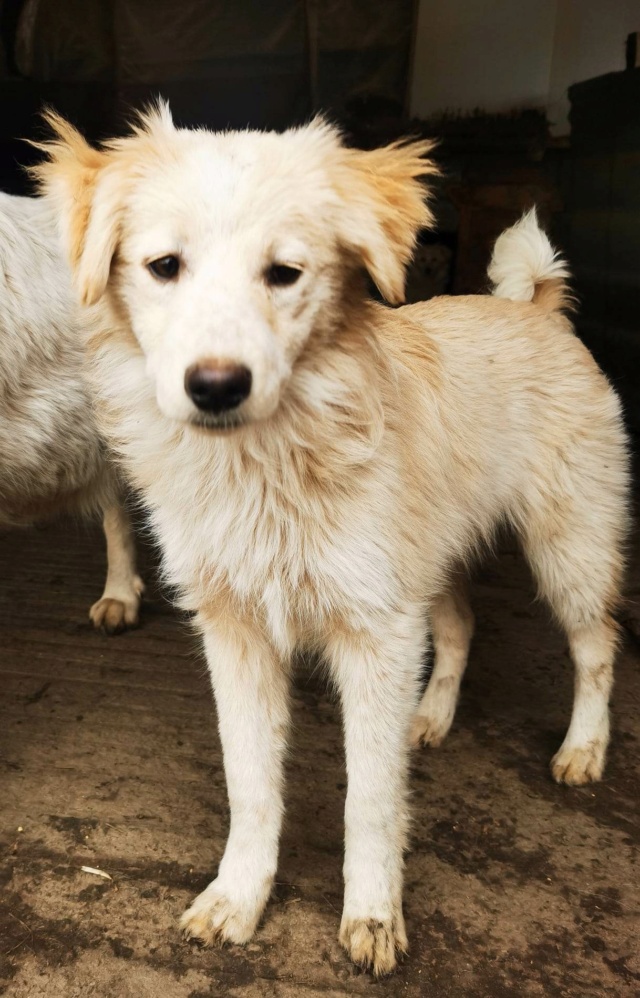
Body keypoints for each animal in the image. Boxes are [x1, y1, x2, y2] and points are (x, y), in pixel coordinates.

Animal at [32, 109, 628, 976]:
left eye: (285, 273)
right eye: (164, 267)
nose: (216, 387)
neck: (265, 468)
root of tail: (537, 307)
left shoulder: (376, 634)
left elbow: (371, 800)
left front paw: (373, 915)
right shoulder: (238, 632)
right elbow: (251, 784)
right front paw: (238, 897)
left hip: (569, 544)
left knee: (596, 646)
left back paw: (584, 749)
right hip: (430, 562)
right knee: (461, 625)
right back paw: (431, 716)